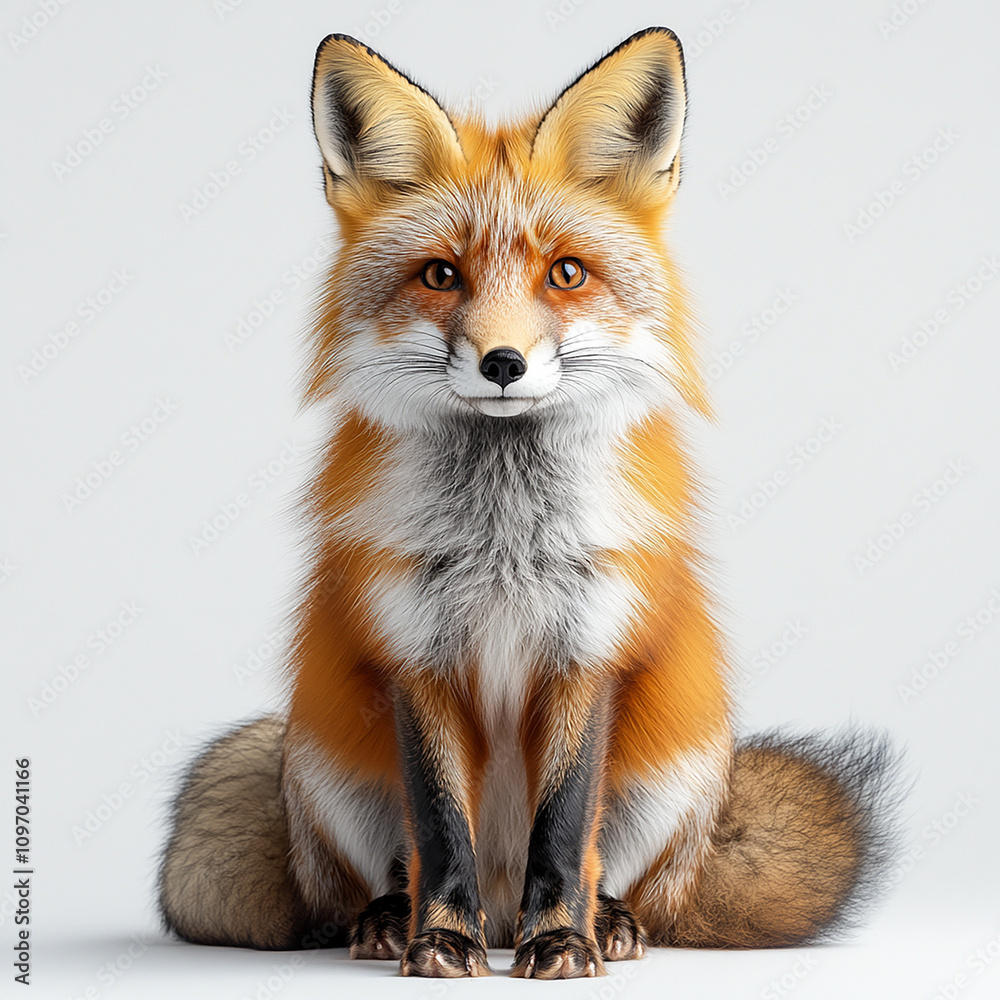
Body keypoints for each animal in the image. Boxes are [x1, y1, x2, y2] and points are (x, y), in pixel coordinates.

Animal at [158, 28, 900, 979]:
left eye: (566, 274)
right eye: (441, 275)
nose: (503, 362)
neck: (504, 538)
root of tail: (502, 908)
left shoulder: (588, 648)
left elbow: (564, 827)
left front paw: (564, 944)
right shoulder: (417, 655)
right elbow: (440, 828)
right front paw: (439, 938)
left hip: (677, 769)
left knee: (615, 871)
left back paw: (607, 923)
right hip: (325, 764)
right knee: (383, 870)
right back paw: (393, 921)